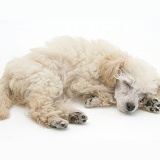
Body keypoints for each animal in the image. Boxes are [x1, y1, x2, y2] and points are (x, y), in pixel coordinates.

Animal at [0, 36, 160, 129]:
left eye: (142, 92)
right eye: (127, 84)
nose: (131, 107)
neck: (102, 61)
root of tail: (7, 73)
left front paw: (149, 101)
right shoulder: (81, 82)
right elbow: (111, 95)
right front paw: (96, 100)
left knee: (54, 103)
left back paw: (73, 115)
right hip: (47, 79)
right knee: (38, 109)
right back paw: (55, 120)